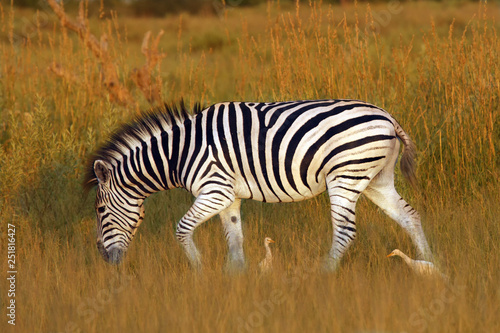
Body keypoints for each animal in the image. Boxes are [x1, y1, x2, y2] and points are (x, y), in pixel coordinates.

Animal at [83, 98, 434, 270]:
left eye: (99, 210)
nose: (102, 257)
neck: (178, 153)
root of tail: (388, 118)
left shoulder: (214, 190)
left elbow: (181, 229)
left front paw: (199, 272)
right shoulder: (229, 197)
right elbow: (235, 240)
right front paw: (236, 281)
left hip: (345, 177)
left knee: (346, 232)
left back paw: (324, 274)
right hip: (375, 180)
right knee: (410, 216)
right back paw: (434, 266)